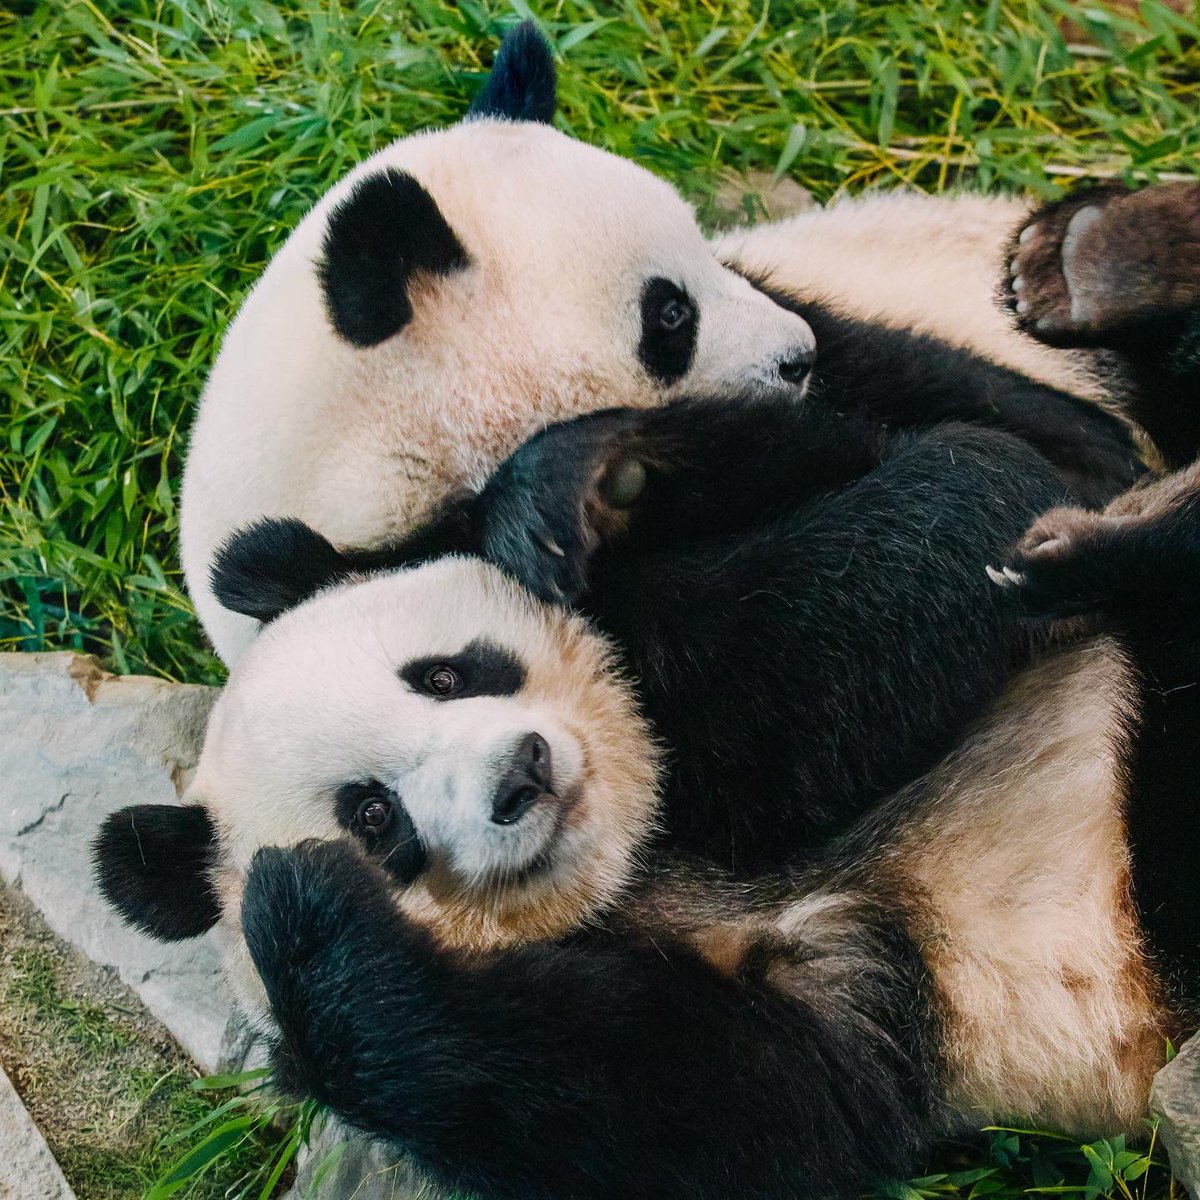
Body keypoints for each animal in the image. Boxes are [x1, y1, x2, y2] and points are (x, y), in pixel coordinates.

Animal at [93, 390, 1200, 1200]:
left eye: (442, 675)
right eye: (375, 816)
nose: (521, 776)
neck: (642, 850)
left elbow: (943, 474)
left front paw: (587, 489)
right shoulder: (865, 986)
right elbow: (730, 1109)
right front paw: (300, 908)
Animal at [181, 20, 1200, 667]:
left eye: (705, 253)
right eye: (669, 316)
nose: (796, 358)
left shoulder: (843, 316)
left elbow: (997, 410)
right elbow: (831, 619)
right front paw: (588, 488)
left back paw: (1091, 262)